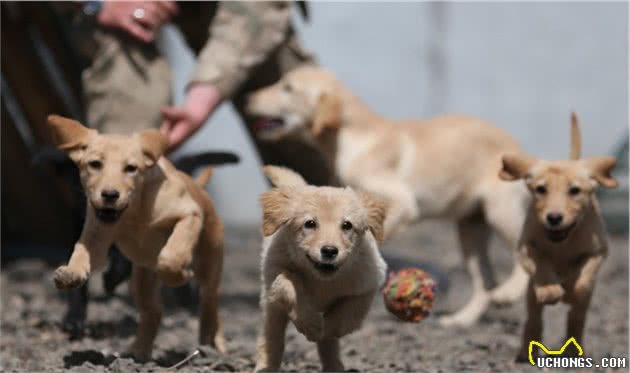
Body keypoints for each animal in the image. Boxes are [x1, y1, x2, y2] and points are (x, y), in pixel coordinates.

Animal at [47, 115, 226, 360]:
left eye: (131, 168)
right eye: (95, 164)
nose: (110, 195)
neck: (134, 211)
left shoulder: (189, 214)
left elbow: (172, 255)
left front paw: (180, 274)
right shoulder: (96, 235)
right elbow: (82, 251)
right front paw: (71, 274)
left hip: (210, 264)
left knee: (210, 303)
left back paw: (212, 342)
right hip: (142, 279)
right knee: (153, 311)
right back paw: (139, 350)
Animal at [247, 64, 532, 326]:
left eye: (288, 88)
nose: (249, 98)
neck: (352, 138)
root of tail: (518, 149)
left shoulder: (402, 204)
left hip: (500, 209)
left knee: (523, 252)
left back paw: (508, 294)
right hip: (471, 228)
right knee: (486, 282)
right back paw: (462, 320)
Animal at [256, 166, 390, 372]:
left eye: (347, 225)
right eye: (310, 223)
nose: (329, 251)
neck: (322, 280)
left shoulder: (369, 281)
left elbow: (349, 312)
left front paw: (329, 328)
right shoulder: (274, 271)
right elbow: (287, 284)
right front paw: (311, 325)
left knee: (329, 347)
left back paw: (334, 364)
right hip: (271, 309)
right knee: (272, 340)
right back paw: (266, 366)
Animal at [504, 112, 624, 360]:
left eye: (575, 190)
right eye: (541, 189)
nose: (554, 218)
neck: (563, 242)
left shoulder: (598, 252)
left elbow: (583, 279)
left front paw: (571, 290)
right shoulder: (525, 247)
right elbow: (540, 264)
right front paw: (551, 289)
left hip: (582, 306)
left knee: (577, 319)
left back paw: (572, 348)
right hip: (531, 295)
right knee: (534, 318)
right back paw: (526, 349)